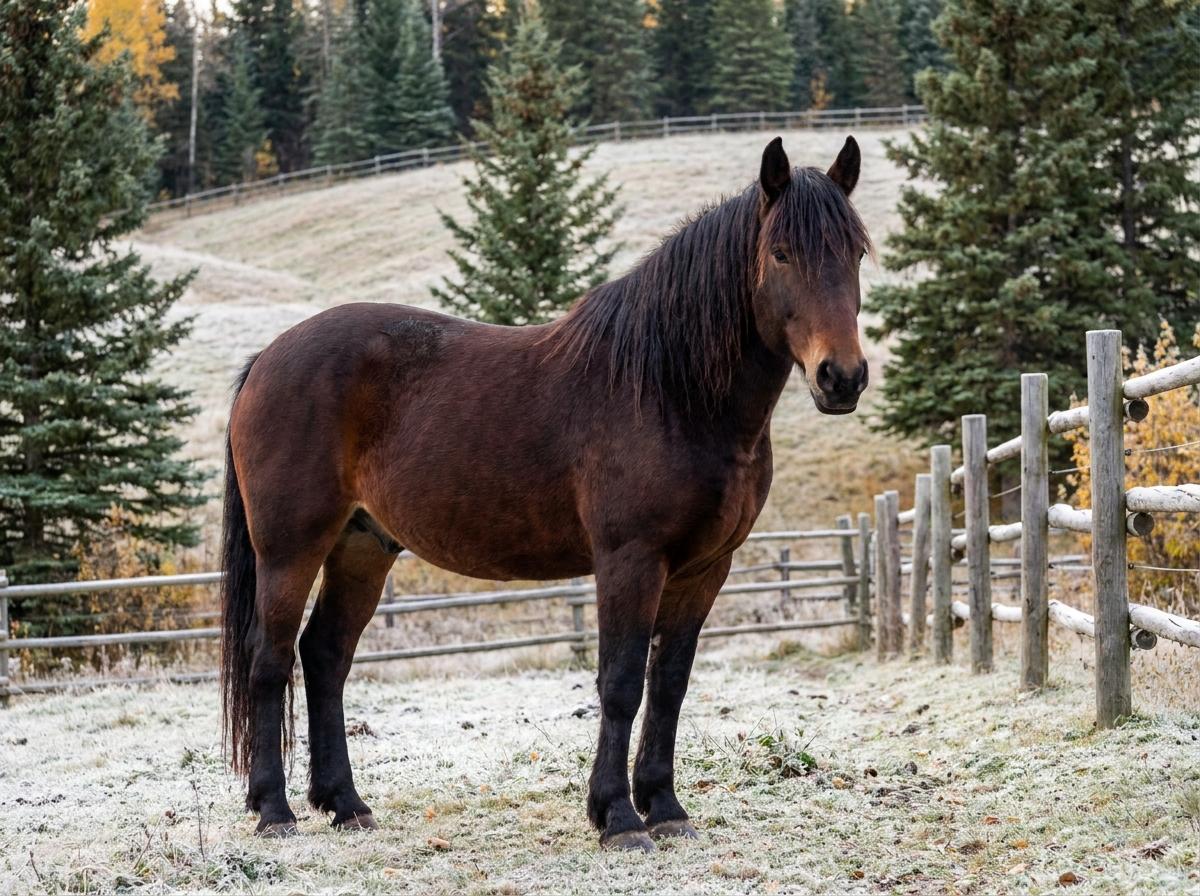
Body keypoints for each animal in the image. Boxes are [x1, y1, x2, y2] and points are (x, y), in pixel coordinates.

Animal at [220, 135, 870, 850]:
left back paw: (344, 803)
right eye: (781, 253)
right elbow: (621, 683)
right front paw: (618, 818)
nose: (841, 377)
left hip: (361, 548)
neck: (670, 390)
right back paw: (274, 810)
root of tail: (267, 359)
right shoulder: (630, 561)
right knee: (269, 660)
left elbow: (669, 685)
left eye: (857, 252)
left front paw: (666, 808)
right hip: (290, 550)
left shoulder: (704, 569)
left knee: (325, 656)